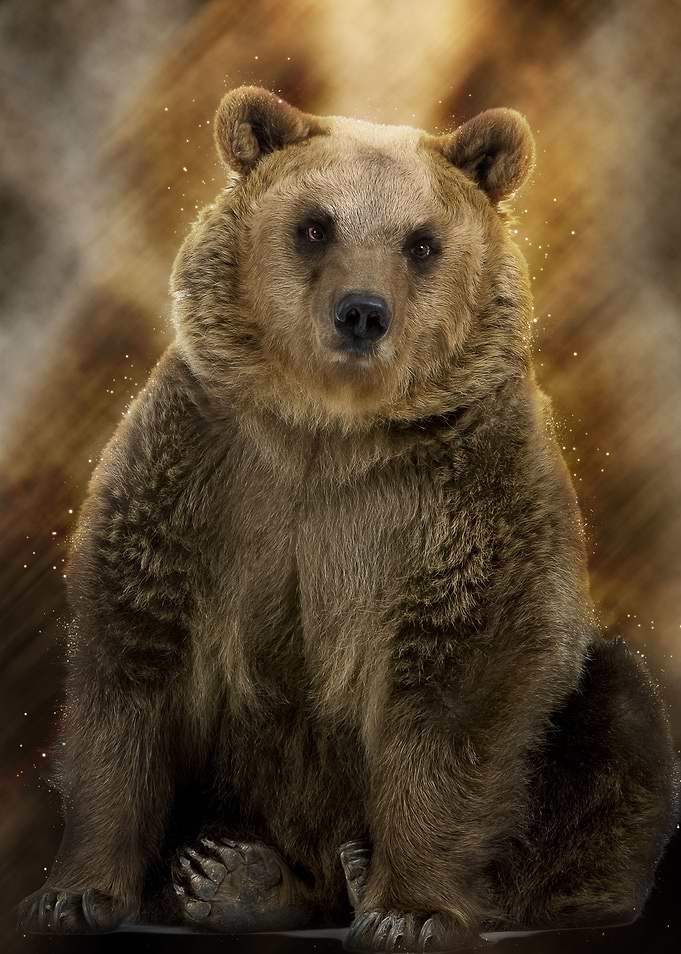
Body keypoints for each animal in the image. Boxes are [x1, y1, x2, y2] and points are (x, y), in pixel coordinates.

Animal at [18, 86, 679, 951]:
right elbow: (130, 669)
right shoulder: (201, 473)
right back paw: (233, 874)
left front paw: (410, 909)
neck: (327, 431)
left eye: (421, 242)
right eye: (314, 225)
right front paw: (75, 893)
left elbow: (457, 689)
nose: (361, 313)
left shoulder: (457, 503)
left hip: (575, 716)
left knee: (616, 720)